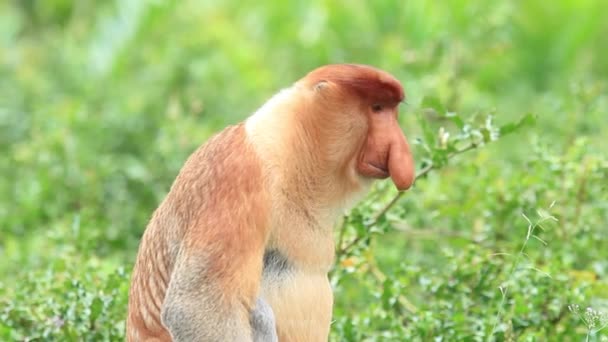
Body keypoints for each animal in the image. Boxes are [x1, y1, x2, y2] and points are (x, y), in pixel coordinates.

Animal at [126, 64, 416, 342]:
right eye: (377, 108)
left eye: (391, 111)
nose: (401, 149)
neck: (292, 150)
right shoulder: (239, 175)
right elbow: (195, 306)